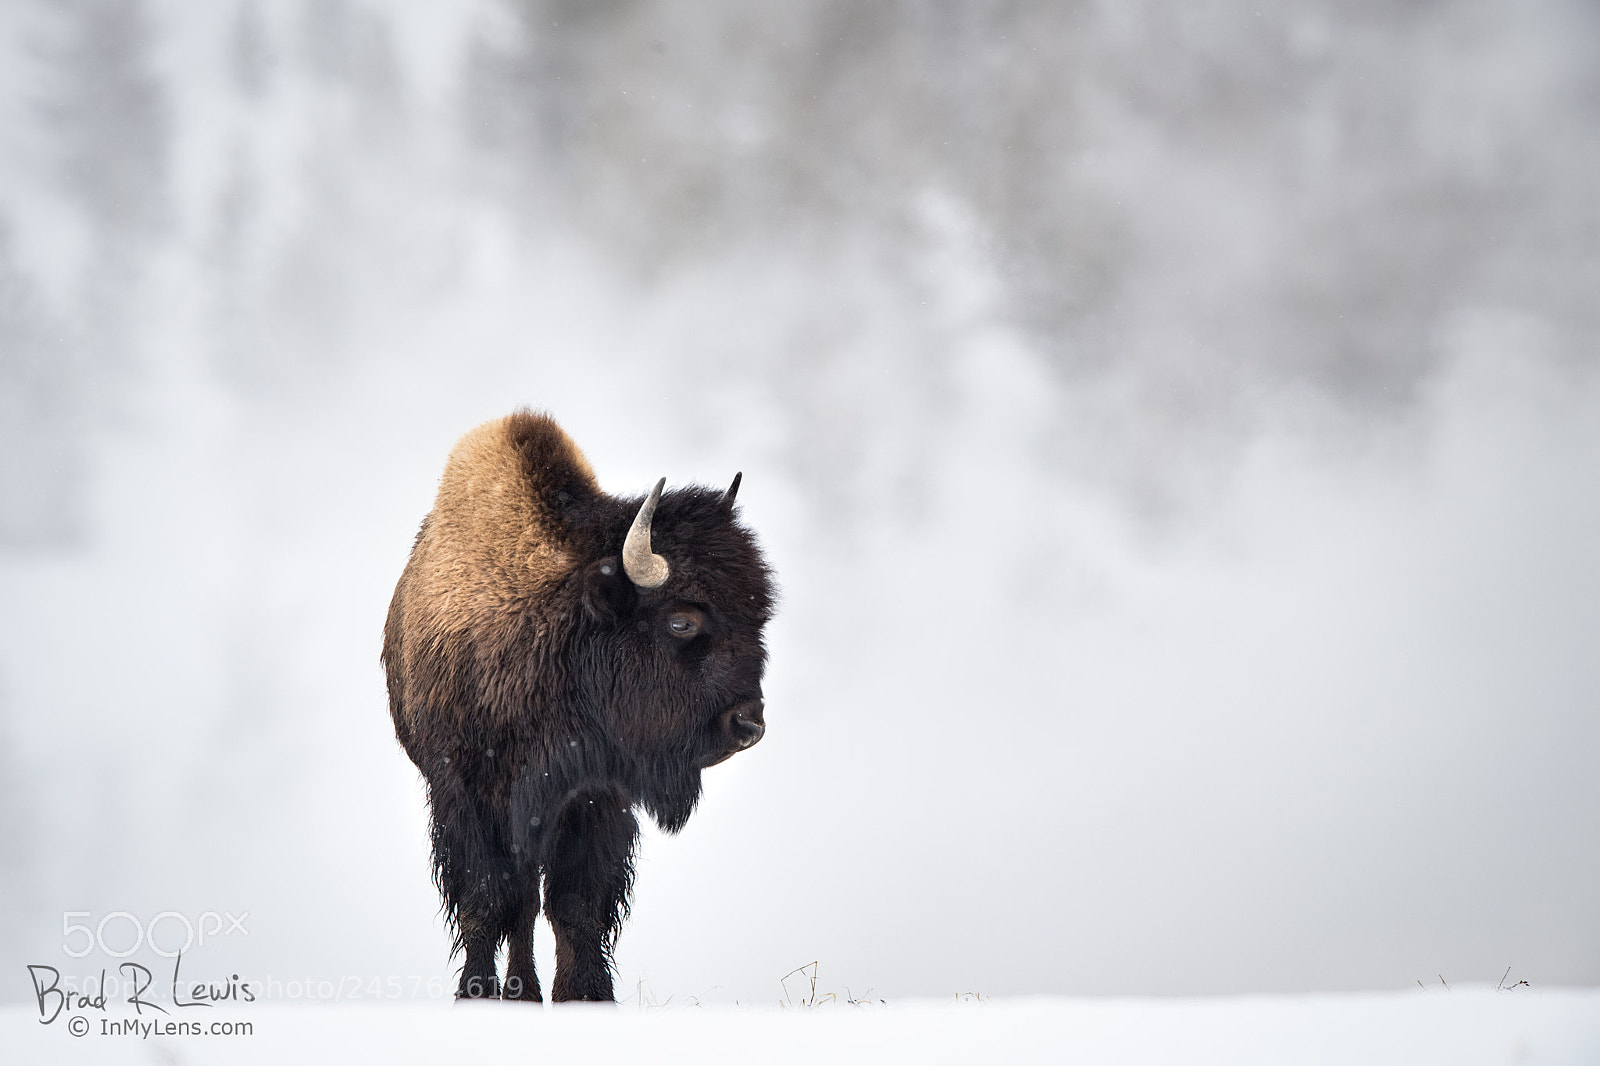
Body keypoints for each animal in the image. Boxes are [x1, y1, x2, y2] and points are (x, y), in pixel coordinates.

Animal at [382, 410, 774, 1002]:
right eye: (681, 621)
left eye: (759, 618)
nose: (748, 724)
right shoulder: (465, 793)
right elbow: (486, 902)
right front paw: (478, 994)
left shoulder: (594, 798)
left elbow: (577, 907)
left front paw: (587, 996)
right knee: (517, 903)